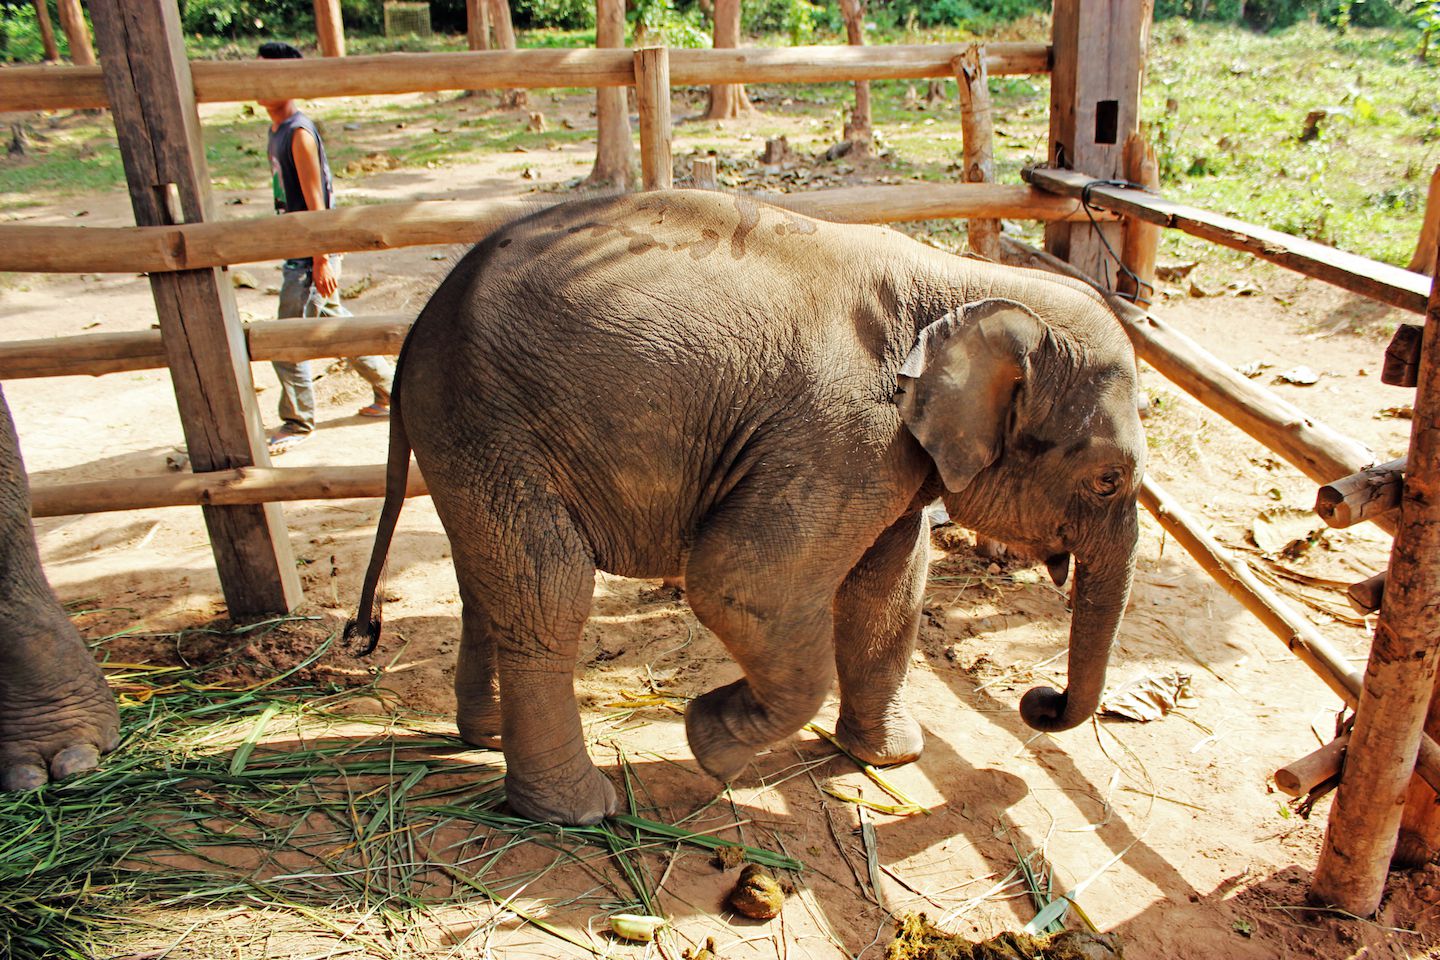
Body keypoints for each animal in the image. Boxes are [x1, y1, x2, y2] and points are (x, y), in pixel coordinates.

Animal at [348, 189, 1145, 826]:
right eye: (1108, 479)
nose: (1039, 703)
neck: (964, 279)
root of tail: (420, 322)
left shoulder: (884, 454)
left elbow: (888, 588)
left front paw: (888, 760)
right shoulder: (840, 430)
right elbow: (742, 584)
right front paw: (710, 747)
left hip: (469, 434)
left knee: (493, 580)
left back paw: (486, 740)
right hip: (488, 419)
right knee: (549, 588)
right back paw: (579, 811)